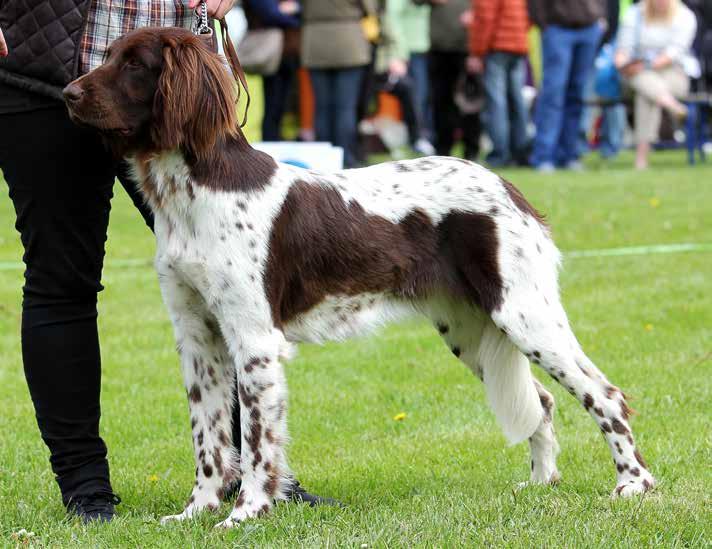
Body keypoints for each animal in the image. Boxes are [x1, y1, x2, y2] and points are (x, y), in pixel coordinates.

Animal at [62, 26, 656, 528]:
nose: (67, 93)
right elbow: (208, 439)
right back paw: (540, 483)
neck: (195, 188)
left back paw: (633, 484)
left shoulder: (253, 341)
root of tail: (510, 187)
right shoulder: (197, 337)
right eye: (107, 55)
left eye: (135, 65)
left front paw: (246, 514)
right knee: (546, 401)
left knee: (606, 395)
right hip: (470, 328)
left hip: (524, 314)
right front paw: (196, 513)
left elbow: (254, 442)